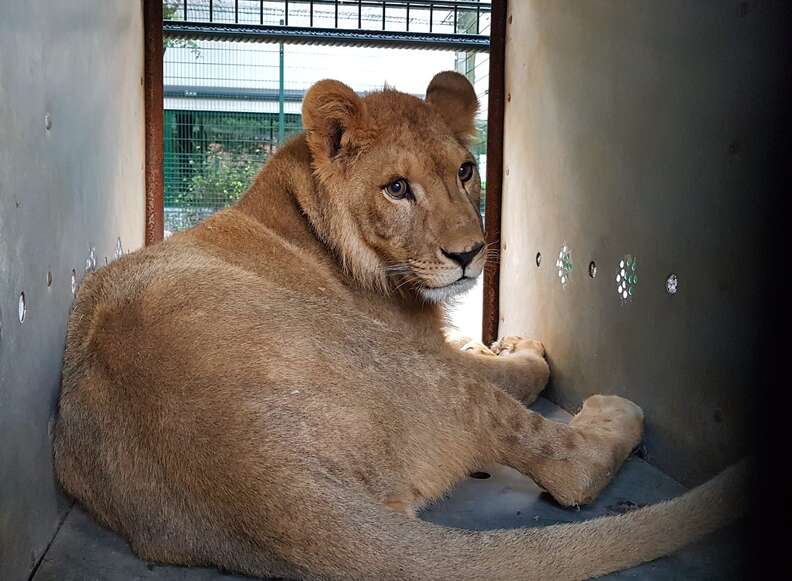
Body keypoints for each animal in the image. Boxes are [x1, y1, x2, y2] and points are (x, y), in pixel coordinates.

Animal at [52, 72, 744, 580]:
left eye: (465, 170)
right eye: (396, 189)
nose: (469, 254)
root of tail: (257, 479)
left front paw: (502, 337)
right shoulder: (425, 344)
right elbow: (528, 372)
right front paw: (525, 348)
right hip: (408, 366)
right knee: (569, 467)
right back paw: (614, 413)